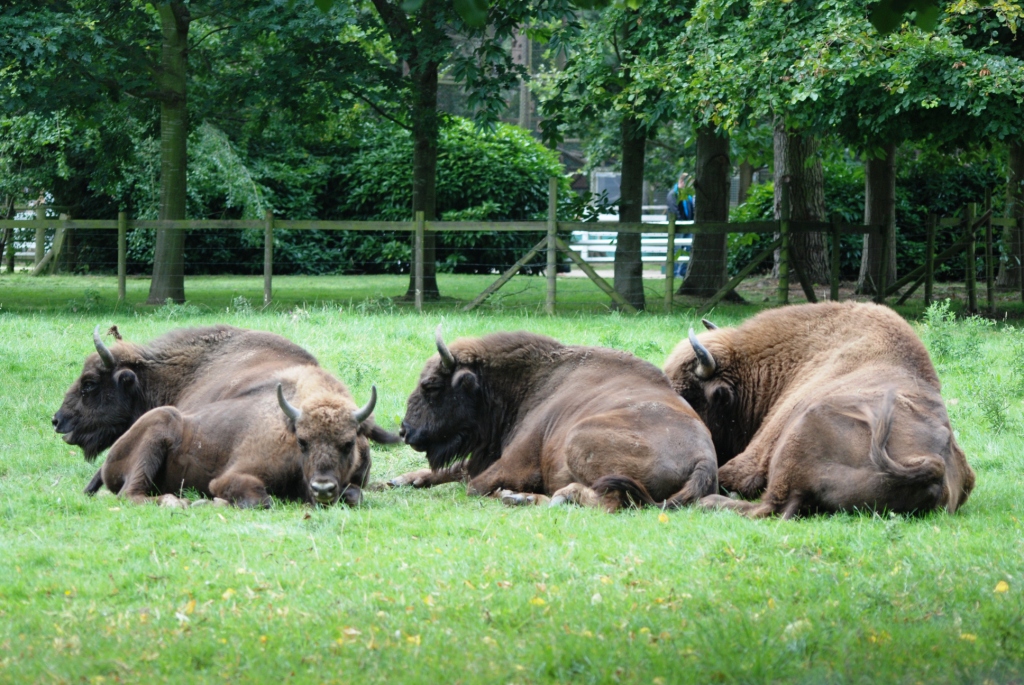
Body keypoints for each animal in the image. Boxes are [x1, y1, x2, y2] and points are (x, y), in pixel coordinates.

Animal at [390, 327, 718, 511]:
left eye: (431, 386)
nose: (405, 431)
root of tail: (705, 458)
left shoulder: (513, 462)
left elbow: (474, 484)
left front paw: (512, 494)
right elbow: (456, 470)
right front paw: (401, 479)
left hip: (579, 438)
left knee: (609, 501)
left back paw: (537, 497)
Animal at [663, 302, 975, 518]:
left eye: (689, 395)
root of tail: (933, 467)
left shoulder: (756, 456)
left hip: (799, 433)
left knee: (764, 507)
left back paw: (707, 502)